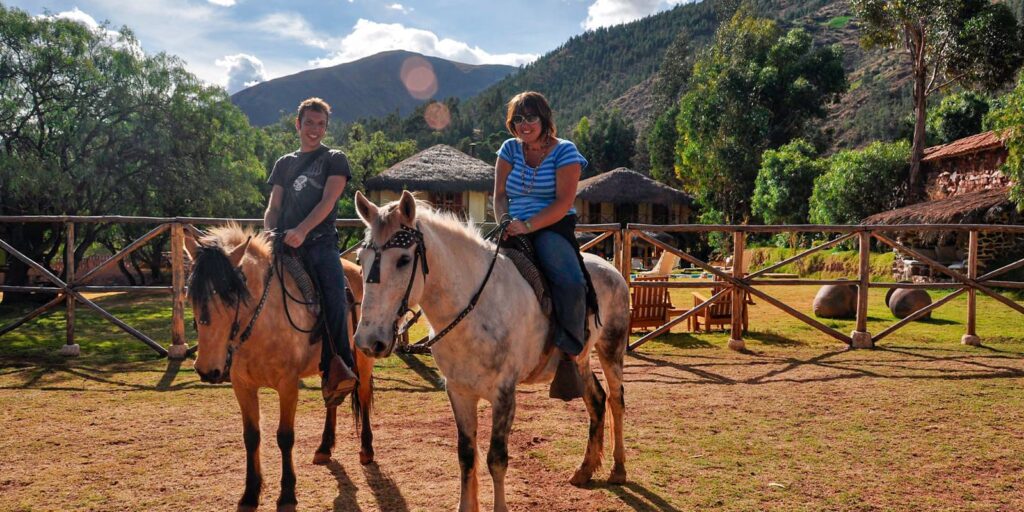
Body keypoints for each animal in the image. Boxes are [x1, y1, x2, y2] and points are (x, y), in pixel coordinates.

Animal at [185, 227, 376, 512]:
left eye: (232, 294)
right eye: (191, 295)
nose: (208, 370)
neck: (262, 321)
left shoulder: (287, 385)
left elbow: (285, 437)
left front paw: (287, 494)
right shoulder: (242, 386)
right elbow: (251, 436)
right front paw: (250, 494)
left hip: (363, 360)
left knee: (362, 396)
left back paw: (366, 449)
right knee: (331, 400)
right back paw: (324, 447)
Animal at [354, 192, 630, 512]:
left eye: (404, 259)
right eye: (361, 260)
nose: (368, 340)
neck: (475, 308)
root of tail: (610, 269)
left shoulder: (504, 394)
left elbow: (496, 459)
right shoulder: (459, 392)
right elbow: (466, 455)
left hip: (611, 348)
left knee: (616, 400)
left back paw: (618, 469)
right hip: (581, 361)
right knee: (596, 400)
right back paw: (585, 470)